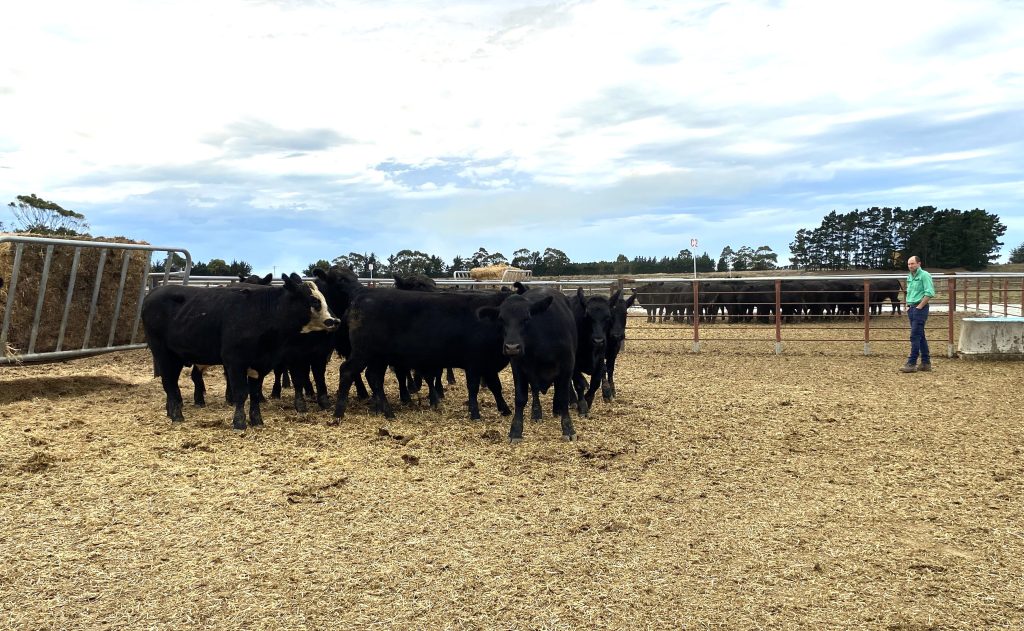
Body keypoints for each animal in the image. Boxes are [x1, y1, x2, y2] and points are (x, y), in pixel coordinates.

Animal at [142, 273, 338, 429]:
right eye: (314, 301)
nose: (335, 320)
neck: (263, 313)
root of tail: (153, 293)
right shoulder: (235, 361)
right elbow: (241, 392)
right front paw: (239, 422)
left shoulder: (260, 363)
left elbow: (255, 393)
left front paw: (257, 420)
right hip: (162, 353)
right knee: (169, 383)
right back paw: (177, 416)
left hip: (174, 356)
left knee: (173, 383)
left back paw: (171, 411)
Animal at [478, 288, 578, 442]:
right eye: (501, 319)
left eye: (526, 318)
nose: (512, 347)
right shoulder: (518, 367)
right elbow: (520, 398)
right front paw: (515, 431)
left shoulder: (567, 366)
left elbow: (563, 397)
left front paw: (568, 429)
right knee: (535, 391)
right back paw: (536, 413)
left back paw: (556, 410)